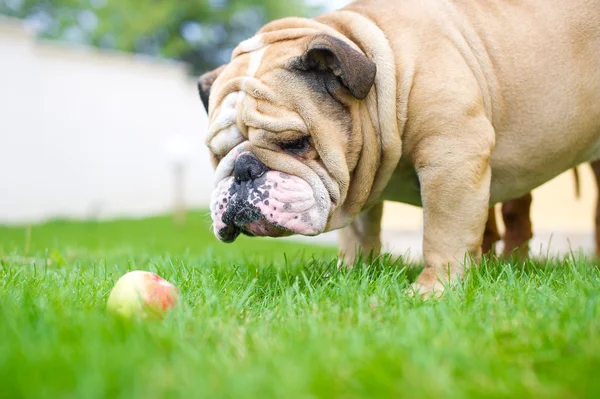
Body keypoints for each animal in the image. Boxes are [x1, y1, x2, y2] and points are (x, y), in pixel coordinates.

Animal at [198, 0, 600, 296]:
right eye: (217, 154)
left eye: (296, 143)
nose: (244, 169)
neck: (388, 80)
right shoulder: (357, 176)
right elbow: (359, 233)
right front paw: (351, 271)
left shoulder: (451, 159)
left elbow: (443, 233)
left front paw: (433, 290)